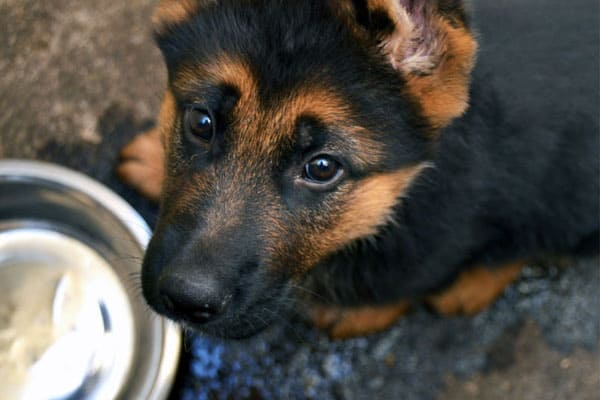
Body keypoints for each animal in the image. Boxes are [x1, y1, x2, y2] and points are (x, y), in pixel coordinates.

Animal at [118, 0, 600, 340]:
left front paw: (357, 309)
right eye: (201, 122)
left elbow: (410, 274)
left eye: (322, 168)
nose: (184, 300)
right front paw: (154, 159)